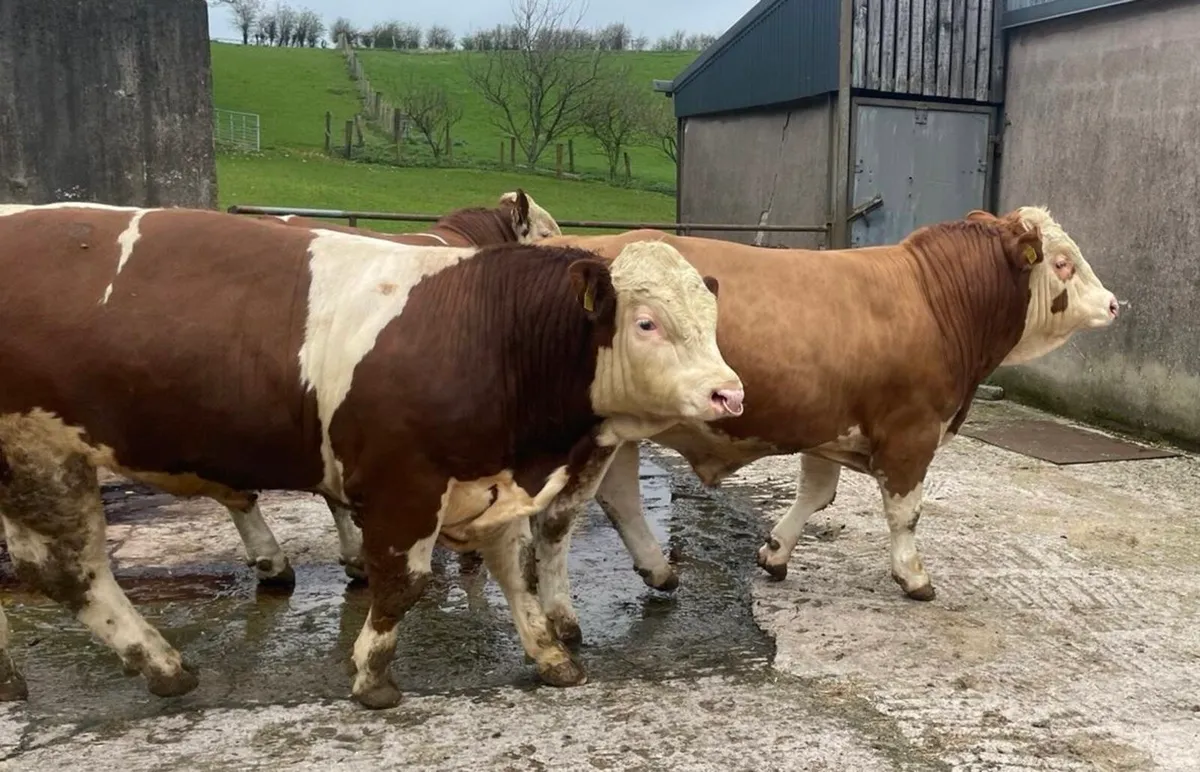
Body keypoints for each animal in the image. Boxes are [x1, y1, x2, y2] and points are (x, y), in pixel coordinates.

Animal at [516, 206, 1120, 644]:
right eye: (1062, 262)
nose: (1115, 303)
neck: (935, 299)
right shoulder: (912, 431)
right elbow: (905, 512)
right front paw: (913, 576)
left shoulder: (824, 423)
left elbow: (817, 493)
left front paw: (775, 553)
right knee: (557, 518)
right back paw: (562, 618)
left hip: (617, 433)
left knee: (617, 498)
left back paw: (655, 571)